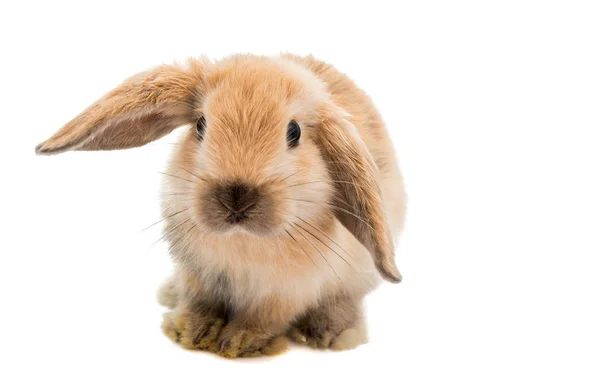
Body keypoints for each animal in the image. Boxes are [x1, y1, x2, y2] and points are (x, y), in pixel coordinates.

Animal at [34, 53, 408, 358]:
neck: (240, 240)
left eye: (294, 132)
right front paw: (191, 331)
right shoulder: (197, 274)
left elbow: (263, 319)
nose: (236, 195)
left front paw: (239, 342)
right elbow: (200, 304)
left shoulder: (285, 292)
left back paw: (330, 333)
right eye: (201, 125)